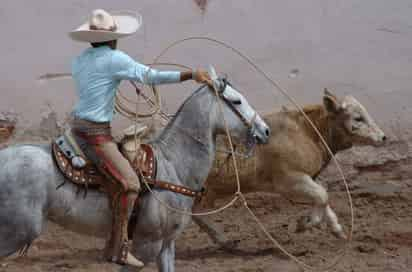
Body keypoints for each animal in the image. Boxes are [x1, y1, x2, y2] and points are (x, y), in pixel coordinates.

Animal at [0, 69, 270, 270]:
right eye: (236, 101)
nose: (265, 130)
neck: (173, 164)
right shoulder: (146, 246)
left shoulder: (166, 246)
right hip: (17, 232)